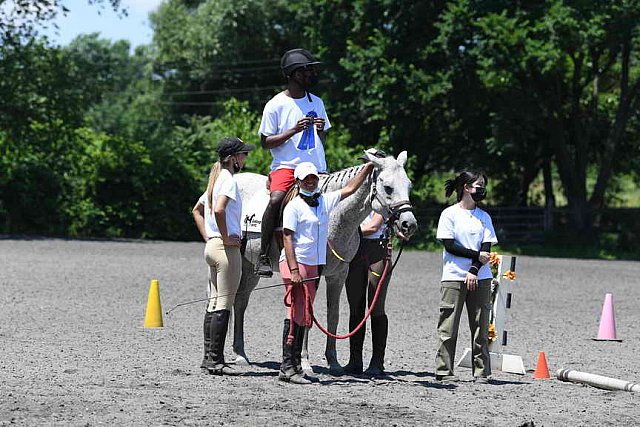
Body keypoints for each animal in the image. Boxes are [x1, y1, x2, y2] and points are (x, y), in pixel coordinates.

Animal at [232, 150, 418, 374]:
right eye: (388, 187)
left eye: (408, 186)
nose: (409, 224)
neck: (334, 216)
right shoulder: (313, 274)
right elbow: (307, 315)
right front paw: (305, 363)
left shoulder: (338, 274)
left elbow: (333, 316)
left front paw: (334, 362)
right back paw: (237, 355)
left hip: (249, 268)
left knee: (240, 302)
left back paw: (240, 354)